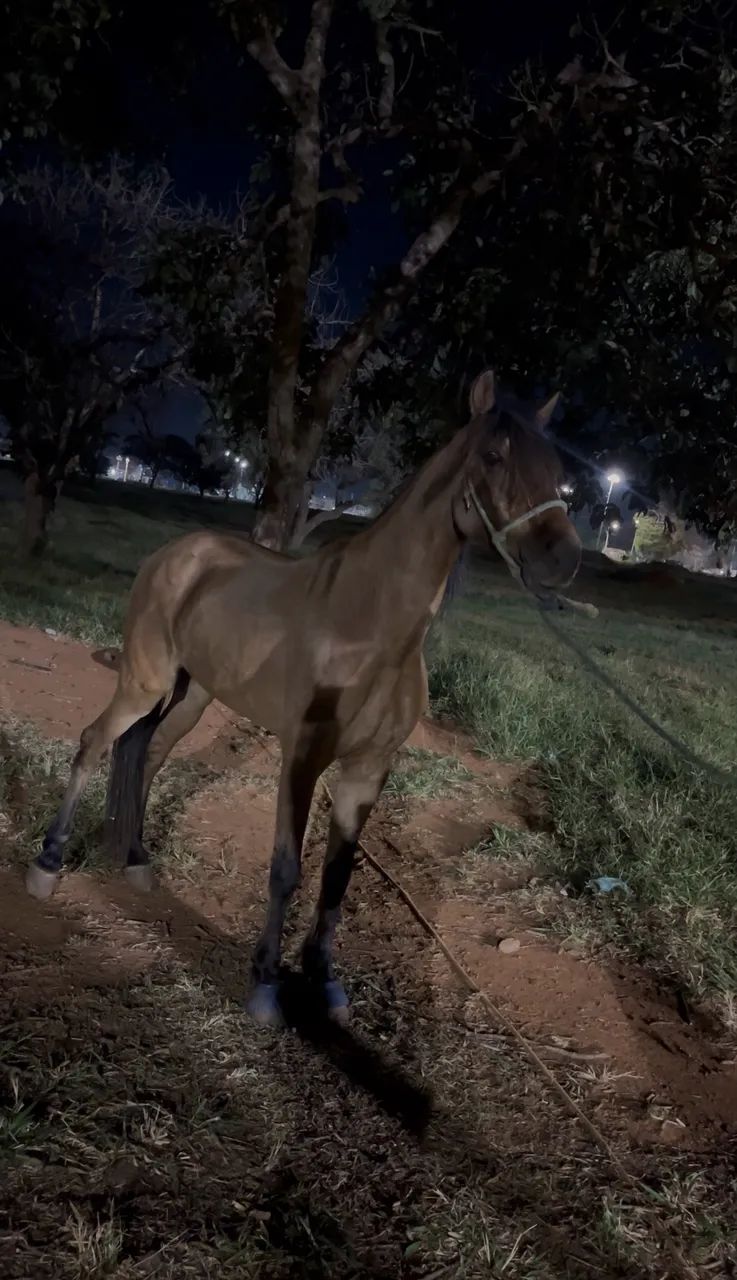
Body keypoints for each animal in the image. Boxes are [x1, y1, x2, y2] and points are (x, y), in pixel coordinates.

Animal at [25, 370, 582, 1026]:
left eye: (557, 471)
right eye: (494, 457)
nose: (563, 559)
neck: (369, 625)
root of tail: (178, 553)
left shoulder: (368, 770)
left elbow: (337, 876)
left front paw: (325, 979)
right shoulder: (303, 758)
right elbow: (286, 870)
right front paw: (265, 985)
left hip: (192, 696)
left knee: (147, 754)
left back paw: (136, 860)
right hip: (145, 681)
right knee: (94, 744)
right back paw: (47, 865)